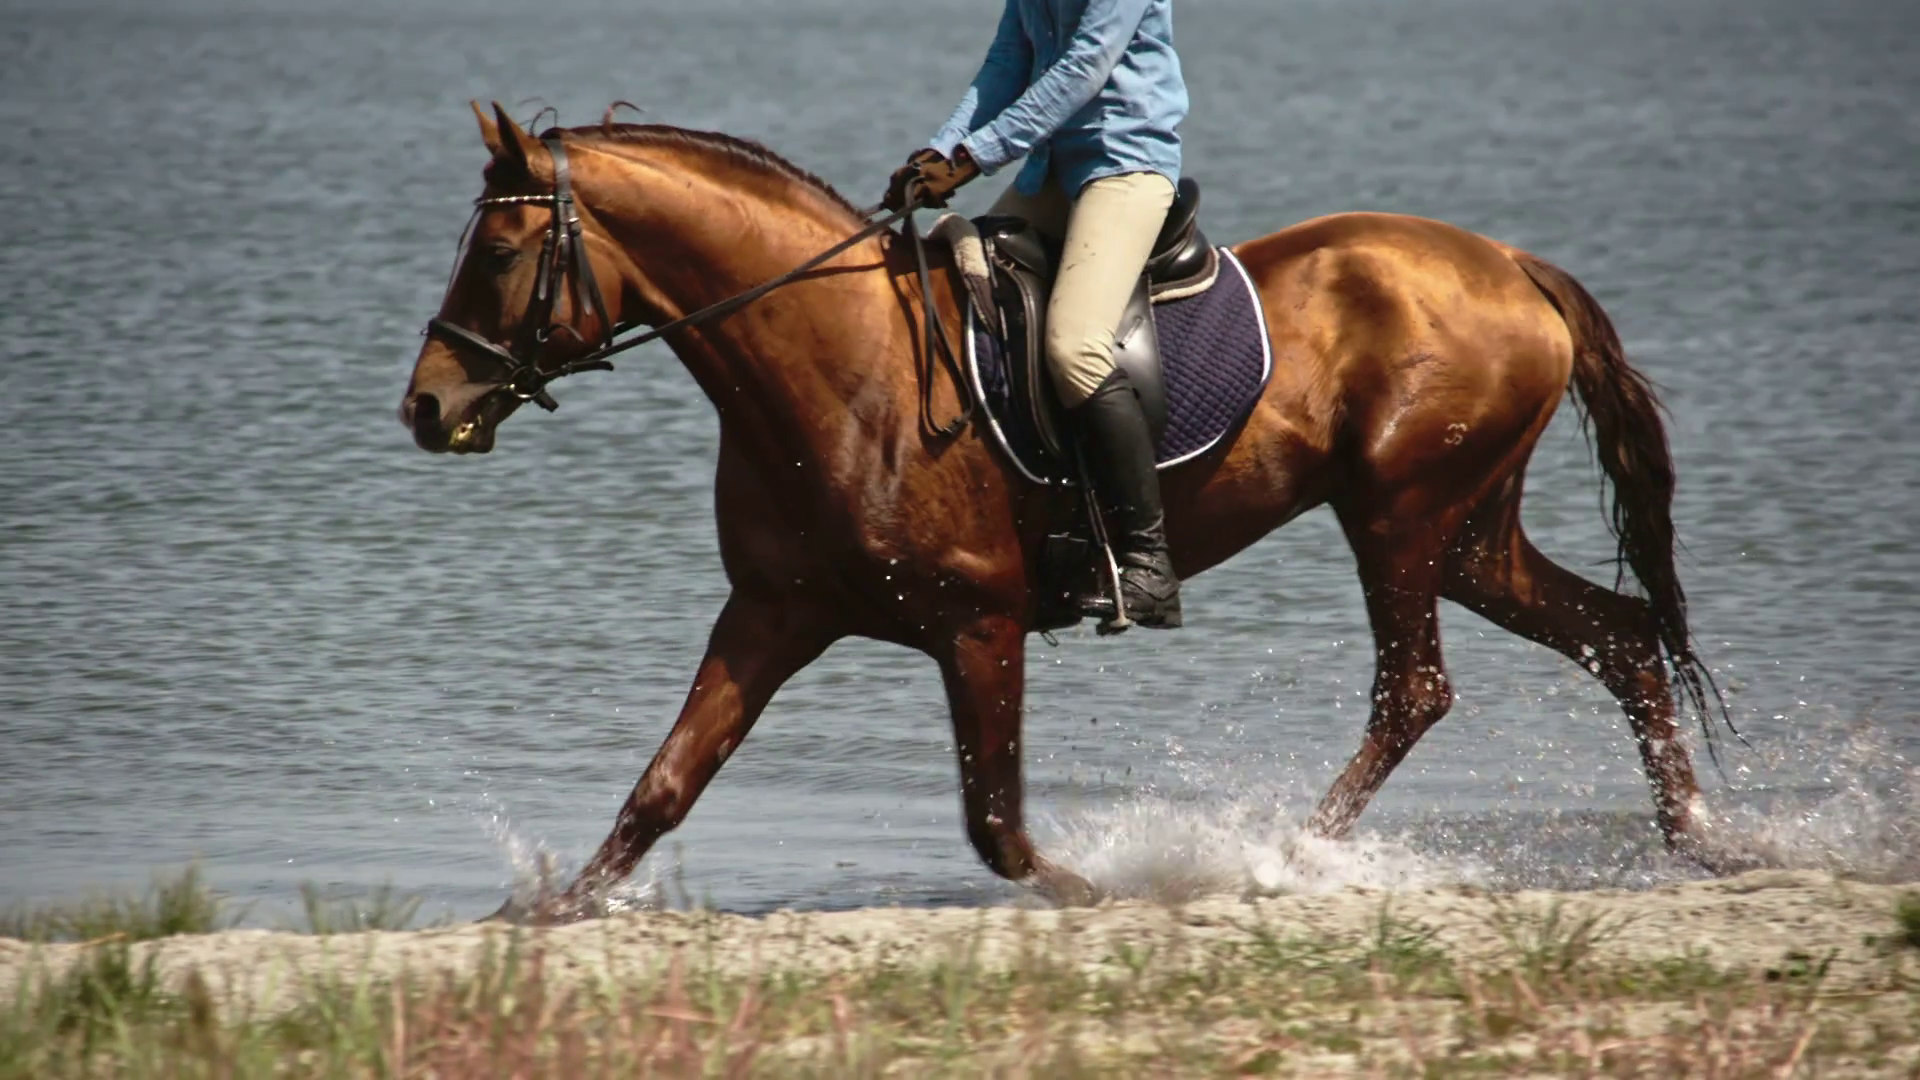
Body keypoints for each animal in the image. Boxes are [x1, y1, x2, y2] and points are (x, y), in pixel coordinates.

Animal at [400, 103, 1727, 915]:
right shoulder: (774, 612)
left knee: (1416, 689)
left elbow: (994, 822)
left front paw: (1094, 894)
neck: (845, 368)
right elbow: (665, 785)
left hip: (1399, 518)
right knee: (1617, 634)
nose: (425, 405)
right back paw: (1697, 843)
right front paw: (548, 910)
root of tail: (1508, 264)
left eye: (501, 257)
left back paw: (1287, 858)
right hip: (1466, 534)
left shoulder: (978, 626)